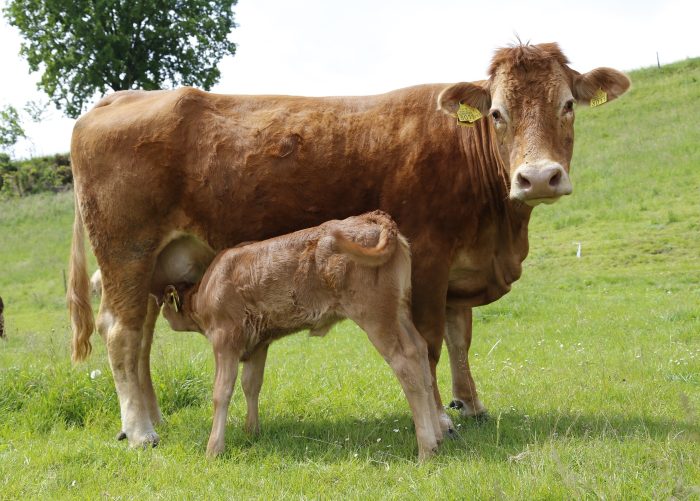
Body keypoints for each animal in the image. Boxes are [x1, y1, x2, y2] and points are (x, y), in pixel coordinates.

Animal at [158, 211, 442, 459]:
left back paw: (426, 450)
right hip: (399, 311)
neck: (207, 288)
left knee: (406, 363)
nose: (162, 310)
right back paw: (438, 437)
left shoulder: (225, 338)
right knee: (420, 351)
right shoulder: (258, 343)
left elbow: (222, 391)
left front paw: (214, 449)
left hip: (376, 316)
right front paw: (252, 431)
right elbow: (251, 384)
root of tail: (372, 217)